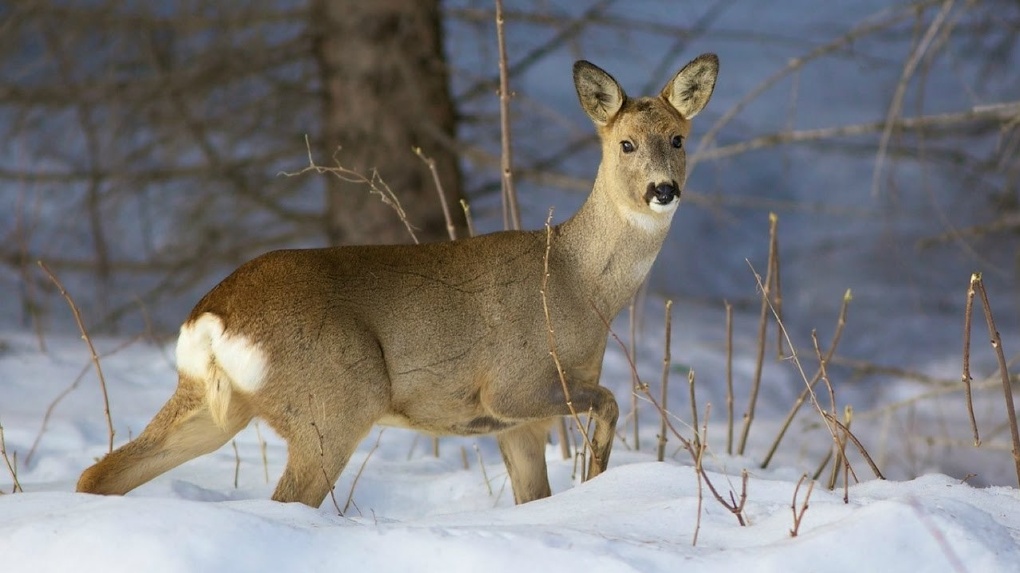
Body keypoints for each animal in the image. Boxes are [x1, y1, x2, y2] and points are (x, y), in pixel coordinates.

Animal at [77, 53, 718, 505]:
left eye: (679, 138)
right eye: (625, 143)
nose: (663, 189)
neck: (578, 283)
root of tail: (212, 316)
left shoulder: (517, 424)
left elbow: (533, 497)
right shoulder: (513, 385)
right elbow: (608, 402)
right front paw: (597, 476)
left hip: (213, 404)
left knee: (101, 472)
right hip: (334, 402)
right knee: (288, 497)